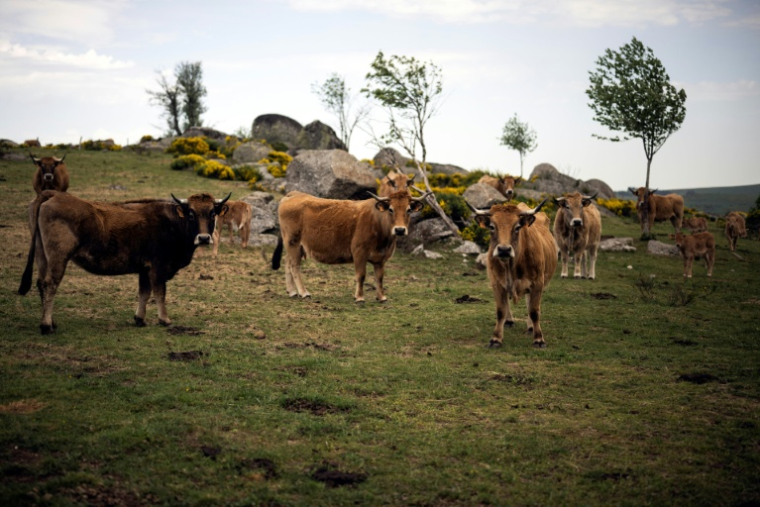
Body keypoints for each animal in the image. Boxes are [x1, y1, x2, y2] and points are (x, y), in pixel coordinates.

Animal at [18, 190, 230, 334]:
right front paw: (165, 319)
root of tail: (52, 194)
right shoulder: (158, 267)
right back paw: (46, 326)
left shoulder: (145, 269)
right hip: (58, 256)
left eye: (212, 213)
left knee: (41, 283)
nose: (204, 238)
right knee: (50, 284)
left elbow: (144, 293)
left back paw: (51, 322)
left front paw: (140, 319)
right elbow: (160, 293)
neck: (172, 223)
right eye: (191, 214)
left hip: (42, 254)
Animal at [271, 190, 431, 302]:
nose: (400, 230)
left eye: (408, 210)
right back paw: (304, 293)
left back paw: (292, 292)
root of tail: (294, 194)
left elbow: (379, 277)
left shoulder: (381, 258)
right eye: (390, 209)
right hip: (293, 242)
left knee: (287, 263)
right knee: (294, 266)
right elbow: (361, 275)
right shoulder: (359, 252)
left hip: (294, 246)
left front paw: (381, 297)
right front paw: (359, 297)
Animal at [470, 200, 558, 348]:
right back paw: (509, 321)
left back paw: (530, 327)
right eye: (492, 227)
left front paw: (538, 339)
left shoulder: (537, 283)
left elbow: (534, 311)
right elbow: (501, 310)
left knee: (529, 303)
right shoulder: (497, 283)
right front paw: (496, 339)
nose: (504, 250)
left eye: (517, 227)